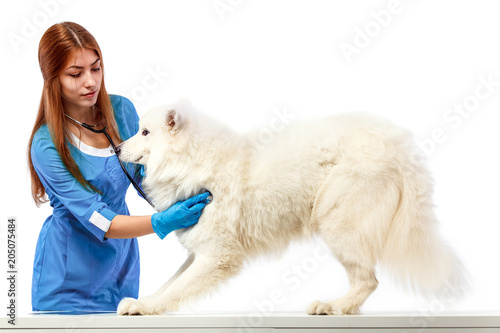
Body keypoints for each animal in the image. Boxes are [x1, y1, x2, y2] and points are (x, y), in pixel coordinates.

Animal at [115, 100, 466, 316]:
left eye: (145, 132)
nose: (116, 147)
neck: (192, 160)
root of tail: (401, 151)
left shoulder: (218, 256)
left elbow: (176, 288)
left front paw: (146, 308)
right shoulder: (200, 251)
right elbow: (171, 283)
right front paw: (142, 302)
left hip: (337, 221)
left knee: (368, 281)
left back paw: (333, 307)